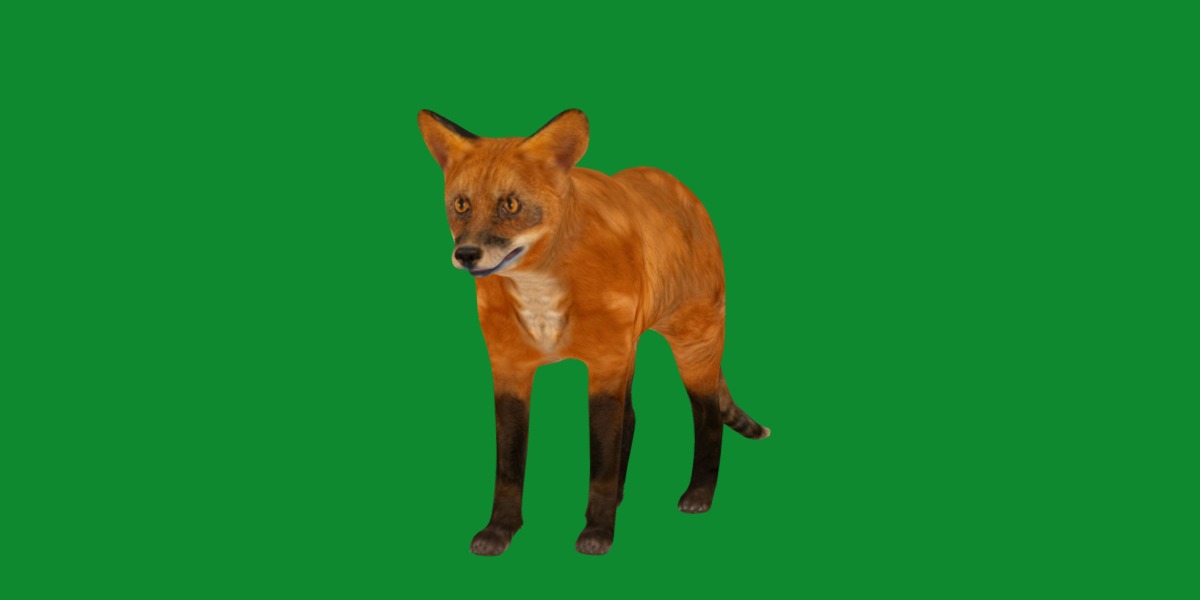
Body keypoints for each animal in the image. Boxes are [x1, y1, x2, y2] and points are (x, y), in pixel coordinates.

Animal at [417, 108, 770, 556]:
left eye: (510, 204)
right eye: (461, 205)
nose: (466, 255)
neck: (541, 294)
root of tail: (679, 187)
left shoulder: (603, 364)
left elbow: (600, 463)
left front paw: (598, 532)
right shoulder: (510, 368)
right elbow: (509, 469)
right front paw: (500, 531)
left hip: (692, 350)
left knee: (707, 419)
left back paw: (699, 495)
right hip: (631, 357)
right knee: (633, 418)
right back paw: (623, 495)